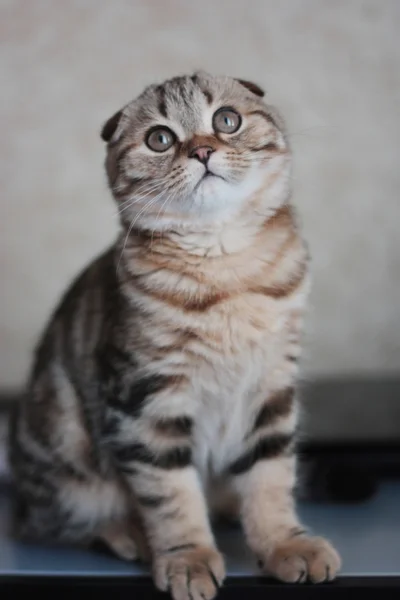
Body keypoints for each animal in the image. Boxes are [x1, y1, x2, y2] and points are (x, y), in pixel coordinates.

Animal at [8, 72, 340, 596]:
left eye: (227, 120)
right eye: (160, 139)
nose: (202, 150)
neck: (224, 266)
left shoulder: (270, 388)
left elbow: (270, 478)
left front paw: (285, 543)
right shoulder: (146, 403)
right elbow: (171, 495)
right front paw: (188, 558)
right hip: (65, 447)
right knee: (54, 519)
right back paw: (129, 534)